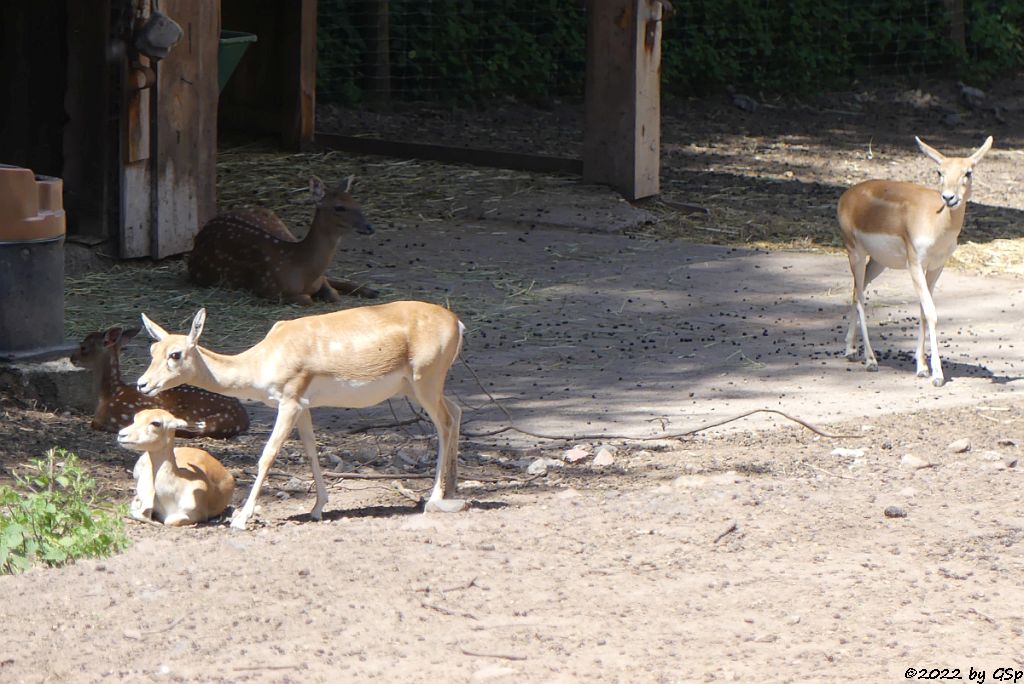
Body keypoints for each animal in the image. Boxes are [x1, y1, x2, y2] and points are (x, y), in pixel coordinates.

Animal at [136, 301, 464, 532]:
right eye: (152, 349)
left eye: (175, 354)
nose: (142, 384)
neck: (264, 359)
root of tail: (455, 322)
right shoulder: (304, 406)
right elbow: (310, 450)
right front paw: (318, 507)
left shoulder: (289, 403)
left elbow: (267, 455)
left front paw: (241, 518)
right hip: (415, 388)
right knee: (457, 412)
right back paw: (452, 490)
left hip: (425, 384)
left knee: (445, 424)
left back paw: (434, 499)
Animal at [186, 175, 378, 305]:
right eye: (339, 208)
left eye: (357, 203)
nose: (370, 227)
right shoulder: (267, 289)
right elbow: (308, 299)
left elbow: (333, 294)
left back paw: (372, 290)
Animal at [839, 133, 991, 385]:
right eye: (939, 171)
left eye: (968, 172)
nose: (949, 198)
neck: (936, 223)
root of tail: (847, 196)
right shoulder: (915, 264)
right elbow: (931, 312)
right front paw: (937, 375)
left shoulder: (936, 267)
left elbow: (923, 311)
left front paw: (921, 366)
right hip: (856, 253)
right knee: (860, 297)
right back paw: (871, 360)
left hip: (878, 262)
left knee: (854, 291)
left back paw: (850, 350)